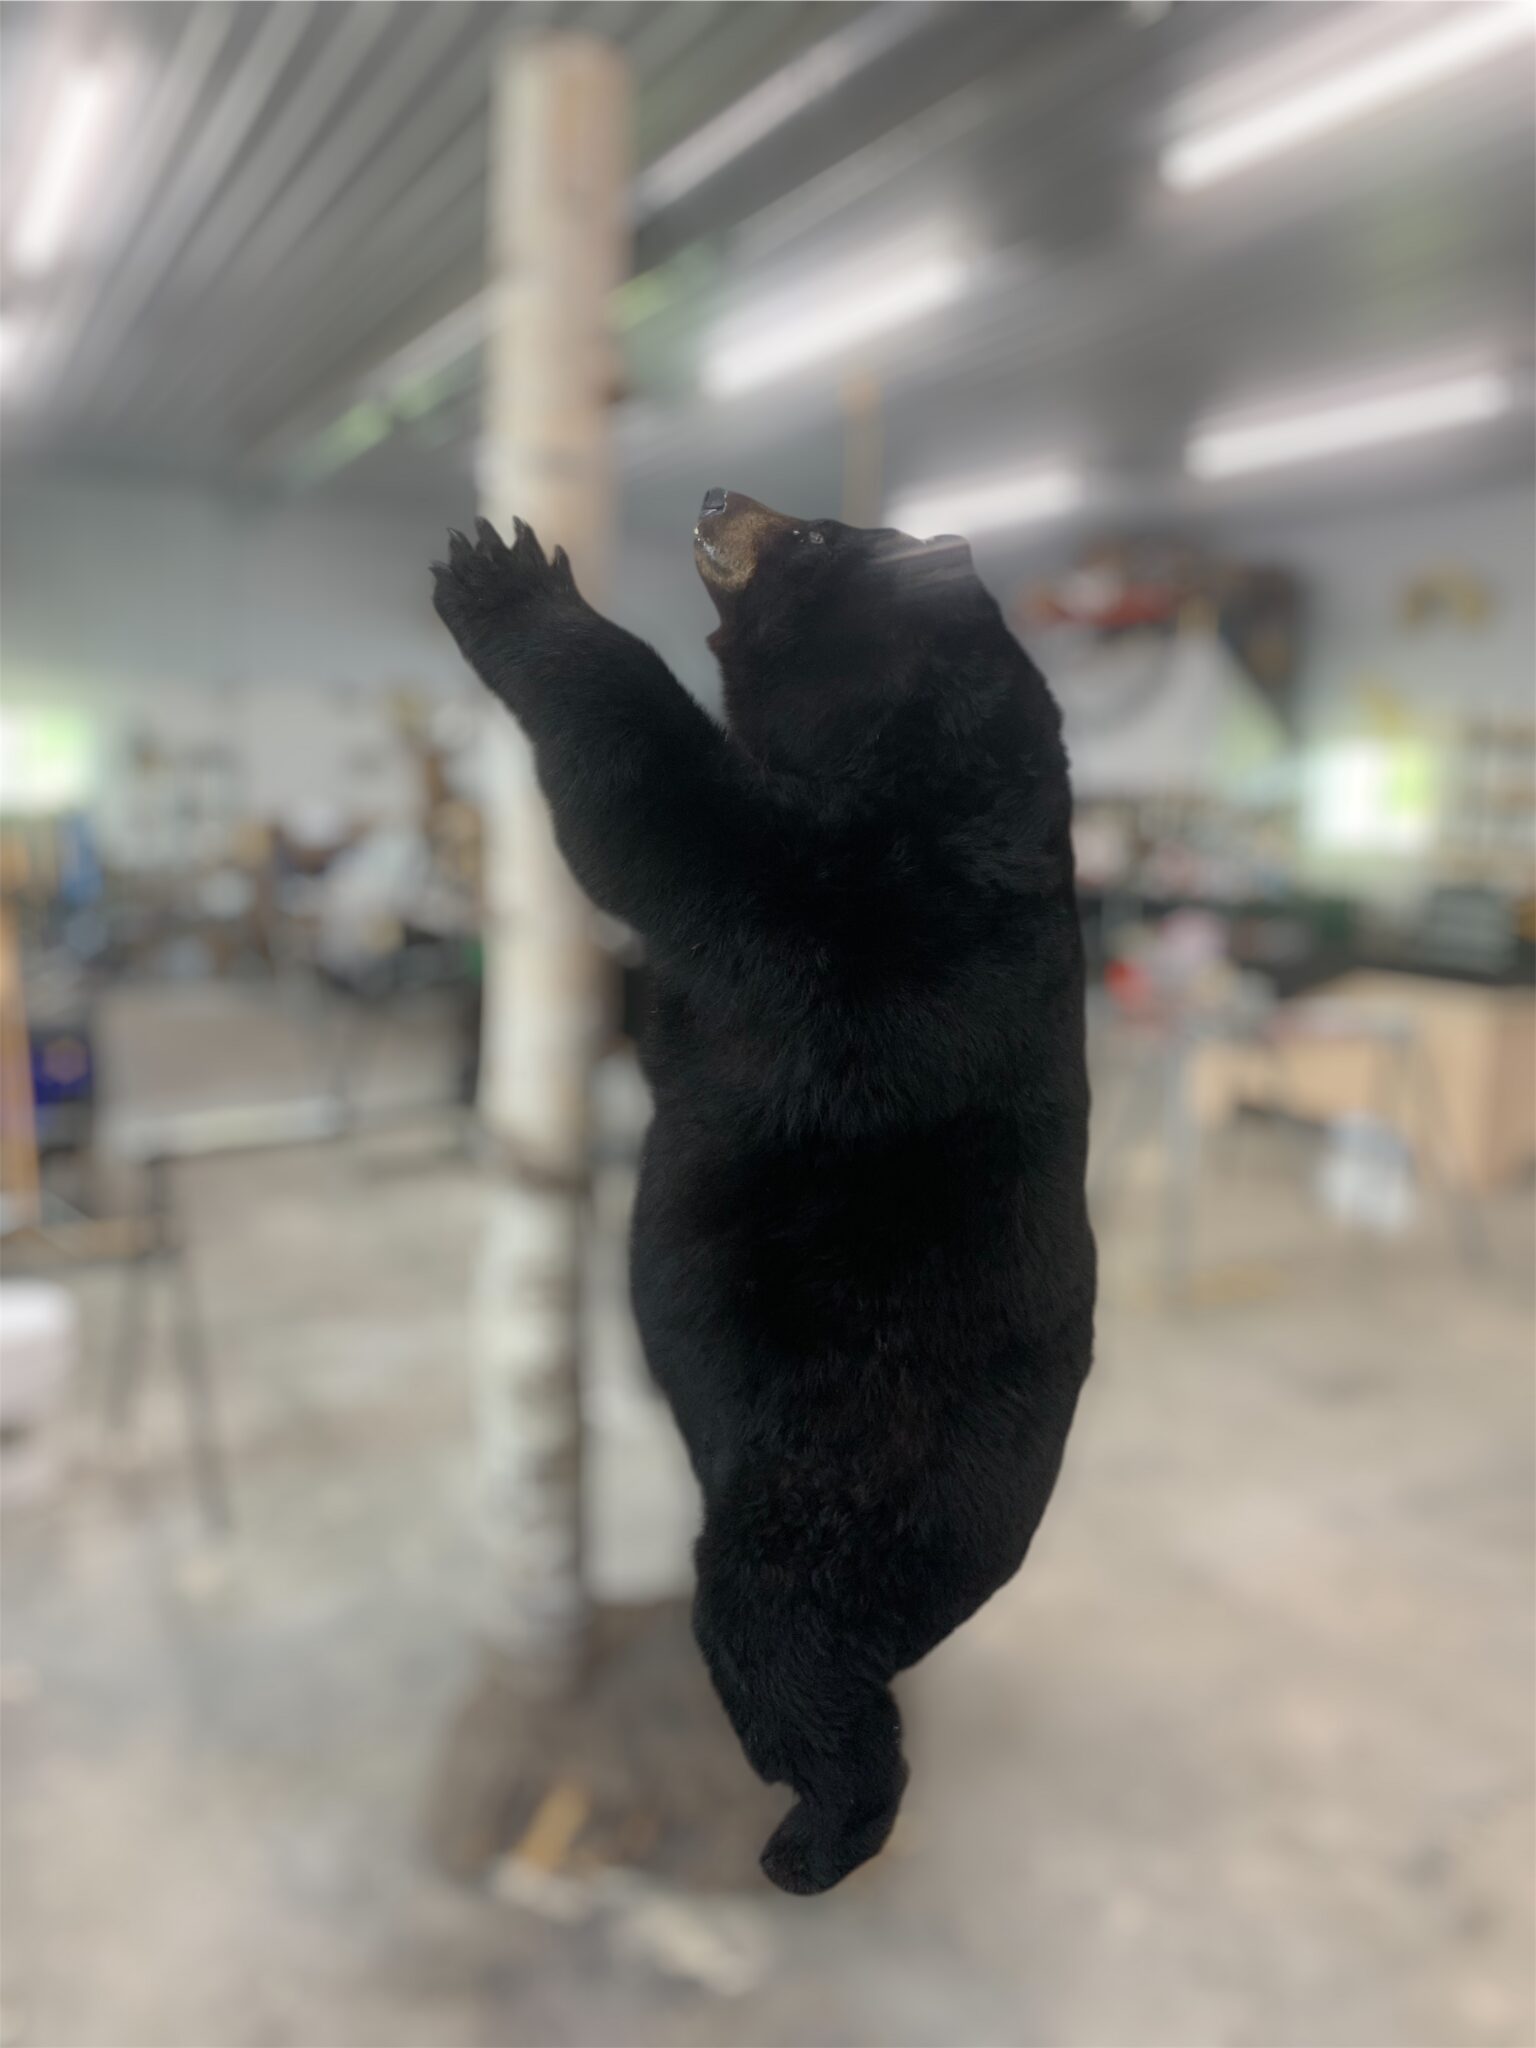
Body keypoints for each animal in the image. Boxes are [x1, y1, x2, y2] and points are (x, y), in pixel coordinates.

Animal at [431, 491, 1095, 1896]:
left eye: (823, 533)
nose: (717, 498)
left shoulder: (879, 909)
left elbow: (673, 824)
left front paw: (506, 578)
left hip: (830, 1495)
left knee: (788, 1652)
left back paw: (814, 1834)